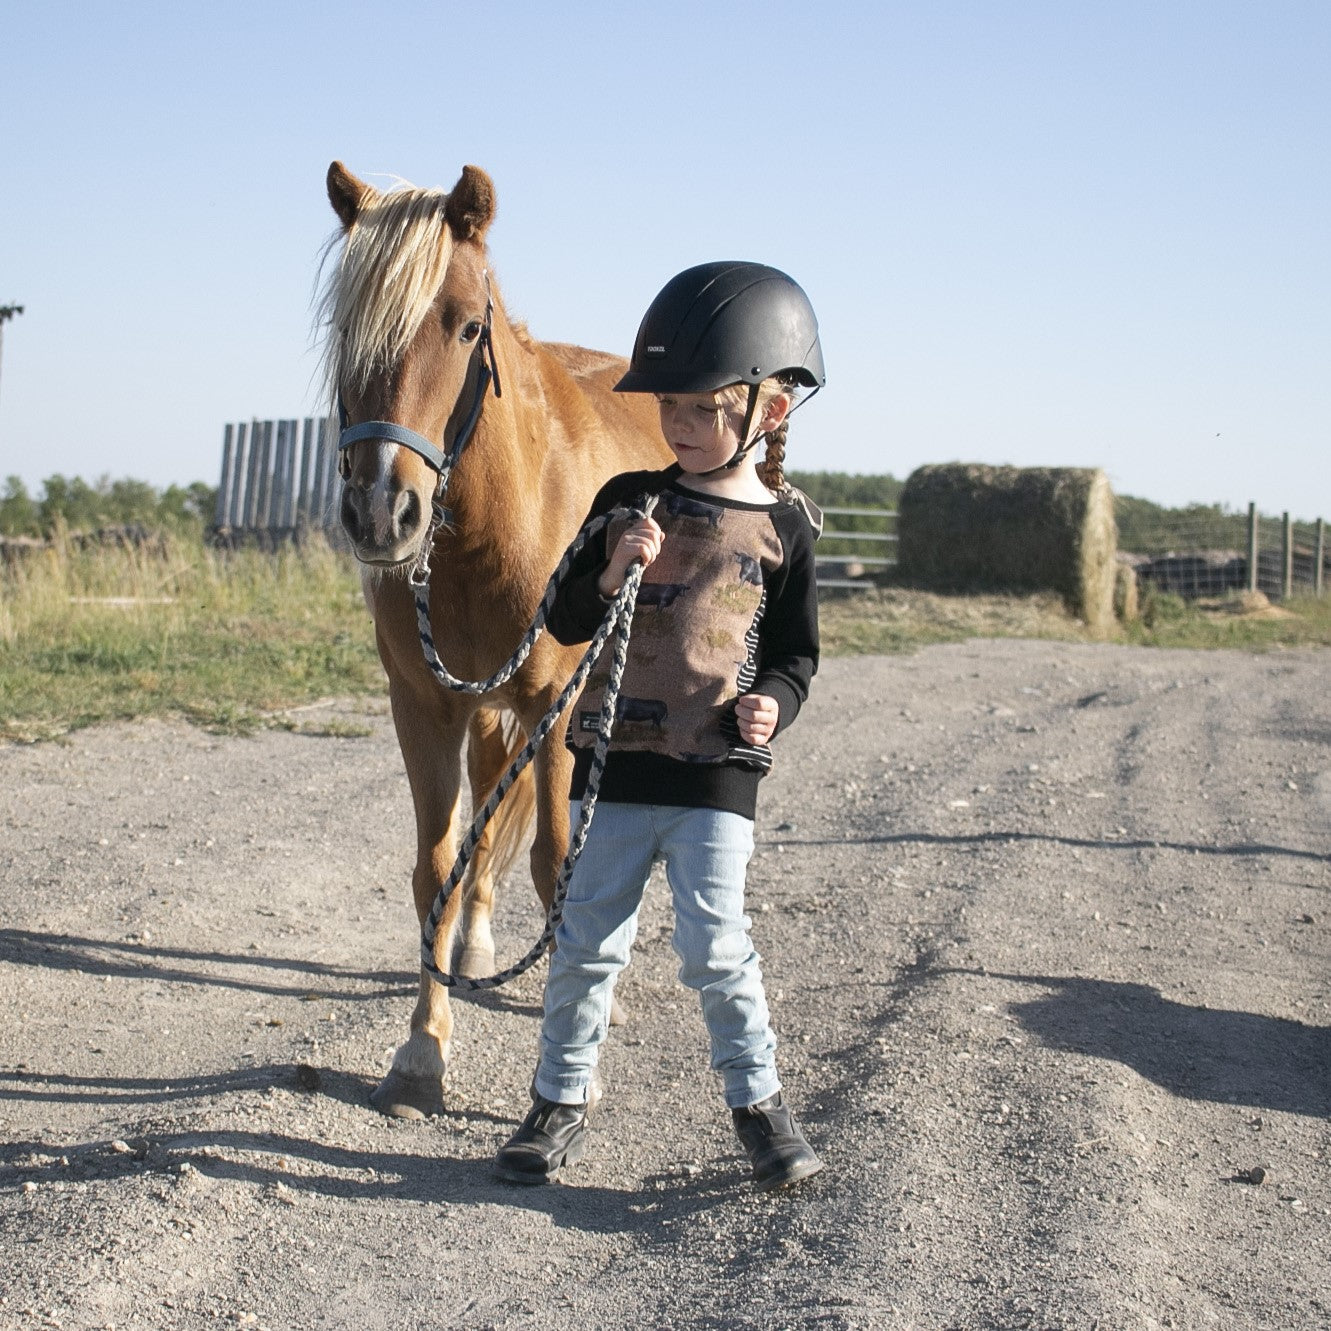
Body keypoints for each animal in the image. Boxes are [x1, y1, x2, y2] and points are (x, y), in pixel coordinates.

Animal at [318, 161, 670, 1118]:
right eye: (344, 328)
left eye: (468, 326)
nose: (381, 512)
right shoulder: (424, 705)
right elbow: (433, 866)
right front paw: (420, 1050)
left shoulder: (553, 700)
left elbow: (555, 856)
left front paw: (576, 1035)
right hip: (484, 709)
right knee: (484, 799)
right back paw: (478, 941)